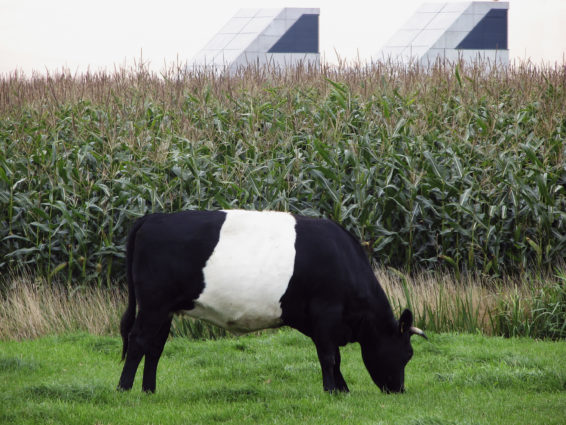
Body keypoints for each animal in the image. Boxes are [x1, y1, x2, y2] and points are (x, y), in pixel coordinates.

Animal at [117, 210, 428, 392]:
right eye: (407, 354)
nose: (398, 390)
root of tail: (151, 218)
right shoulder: (326, 313)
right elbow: (329, 356)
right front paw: (333, 391)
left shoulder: (317, 322)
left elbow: (333, 357)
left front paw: (342, 389)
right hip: (153, 305)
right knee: (138, 341)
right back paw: (125, 389)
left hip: (165, 309)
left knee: (155, 347)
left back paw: (149, 390)